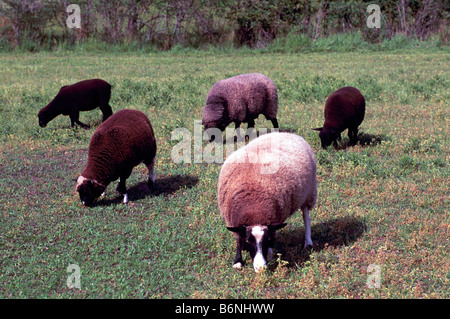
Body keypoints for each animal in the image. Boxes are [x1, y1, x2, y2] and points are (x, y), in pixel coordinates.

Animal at [217, 132, 316, 272]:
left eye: (267, 240)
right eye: (248, 241)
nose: (260, 268)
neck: (254, 212)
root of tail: (287, 133)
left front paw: (269, 254)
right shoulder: (233, 220)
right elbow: (238, 238)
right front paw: (238, 261)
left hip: (309, 192)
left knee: (306, 216)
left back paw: (308, 242)